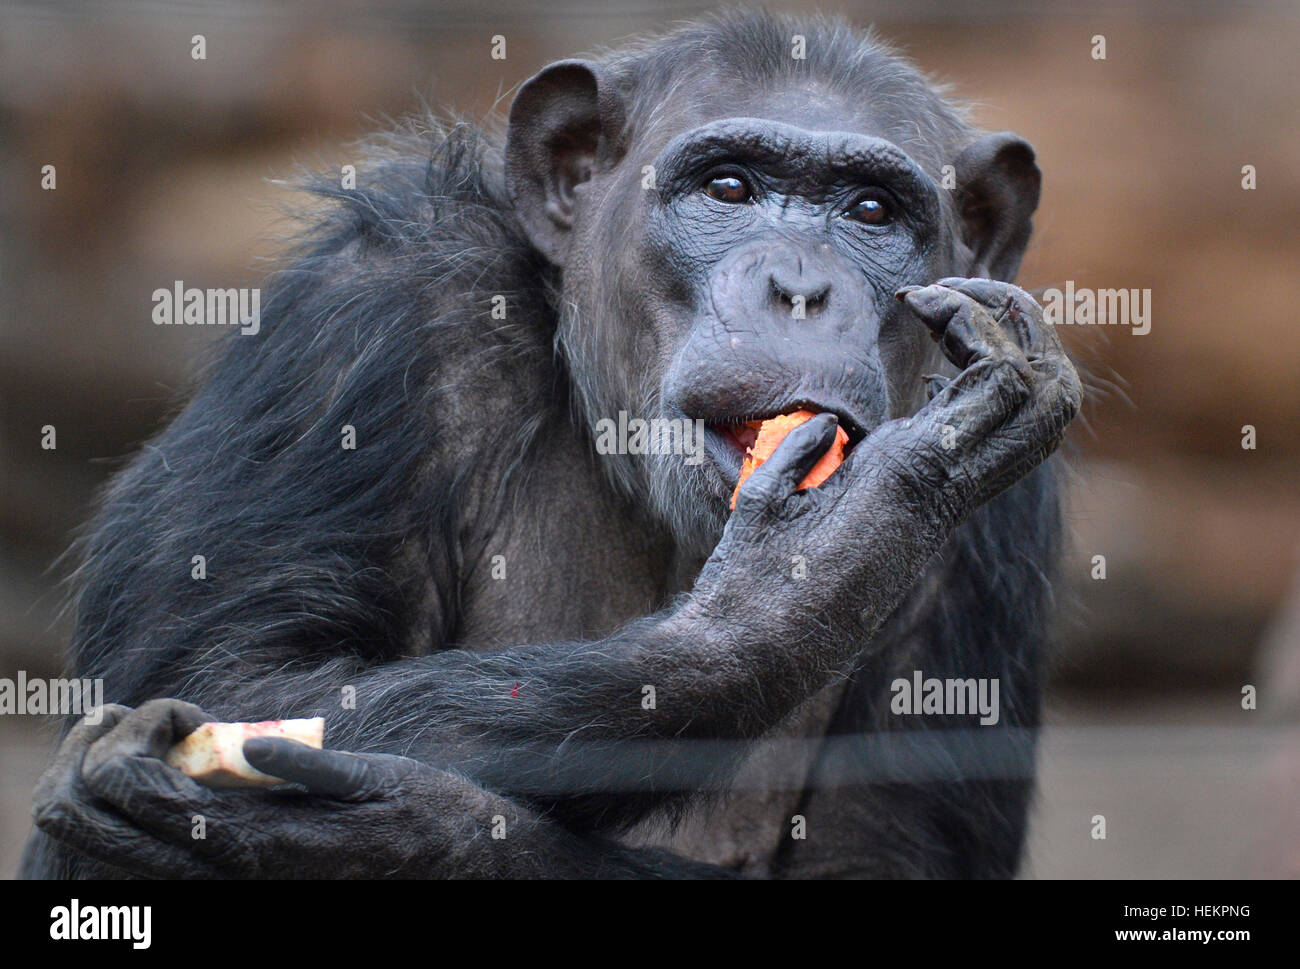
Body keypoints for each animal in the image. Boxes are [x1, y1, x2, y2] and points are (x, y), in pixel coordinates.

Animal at [22, 11, 1076, 879]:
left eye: (869, 211)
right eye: (730, 187)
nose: (801, 287)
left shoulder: (998, 523)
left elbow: (879, 858)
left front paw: (403, 829)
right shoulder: (363, 323)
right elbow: (225, 680)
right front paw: (811, 569)